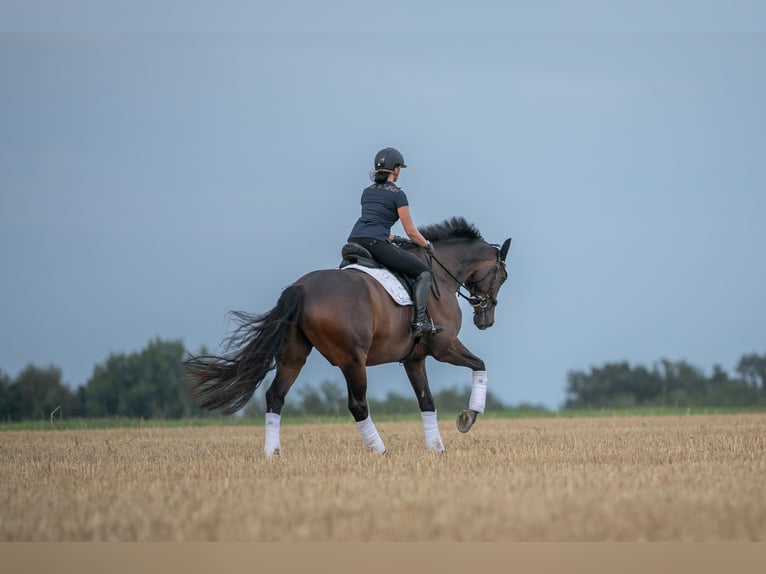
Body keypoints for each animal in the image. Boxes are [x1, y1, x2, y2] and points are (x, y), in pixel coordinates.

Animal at [183, 218, 512, 462]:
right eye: (503, 276)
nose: (486, 320)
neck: (440, 272)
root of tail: (301, 288)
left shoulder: (414, 358)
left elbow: (426, 400)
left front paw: (437, 449)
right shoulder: (444, 347)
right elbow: (479, 365)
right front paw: (469, 417)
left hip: (293, 356)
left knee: (275, 396)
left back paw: (272, 454)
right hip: (353, 360)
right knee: (357, 404)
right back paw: (380, 451)